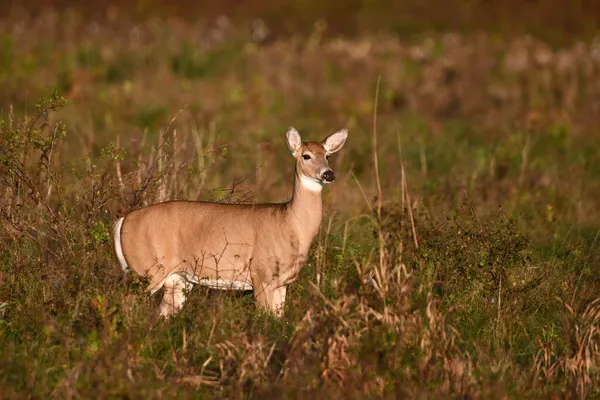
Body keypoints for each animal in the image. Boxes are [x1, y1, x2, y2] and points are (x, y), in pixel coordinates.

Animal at [112, 126, 346, 318]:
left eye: (327, 155)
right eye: (306, 156)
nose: (329, 174)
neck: (288, 221)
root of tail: (124, 220)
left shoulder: (283, 282)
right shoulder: (261, 274)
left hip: (176, 279)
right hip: (147, 267)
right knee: (127, 301)